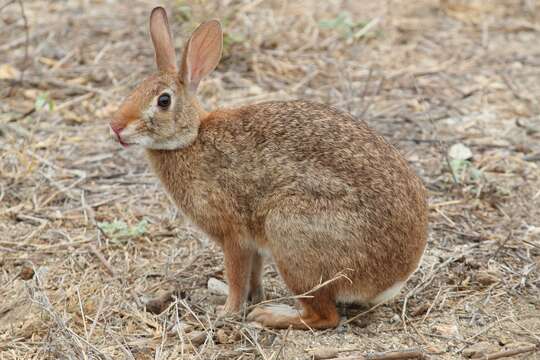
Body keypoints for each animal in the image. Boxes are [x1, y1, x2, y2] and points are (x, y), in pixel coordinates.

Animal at [109, 7, 428, 330]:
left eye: (163, 101)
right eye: (135, 89)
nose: (116, 127)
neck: (192, 137)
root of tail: (392, 277)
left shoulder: (234, 235)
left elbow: (237, 275)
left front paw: (227, 312)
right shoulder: (254, 245)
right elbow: (254, 274)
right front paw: (254, 297)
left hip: (290, 233)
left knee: (325, 316)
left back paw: (271, 315)